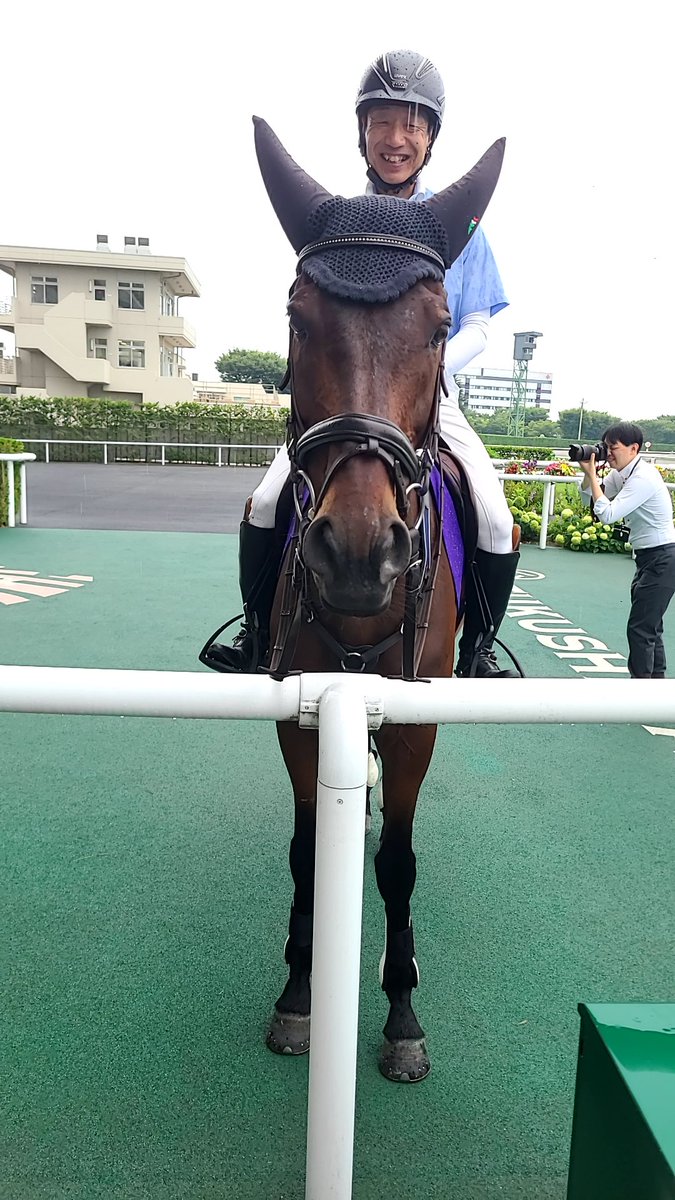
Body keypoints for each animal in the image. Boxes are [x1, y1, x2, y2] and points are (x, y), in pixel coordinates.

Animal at [252, 117, 505, 1082]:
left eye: (438, 329)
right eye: (296, 316)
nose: (360, 553)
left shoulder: (416, 720)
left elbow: (397, 863)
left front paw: (400, 1013)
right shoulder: (296, 714)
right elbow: (304, 853)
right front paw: (297, 996)